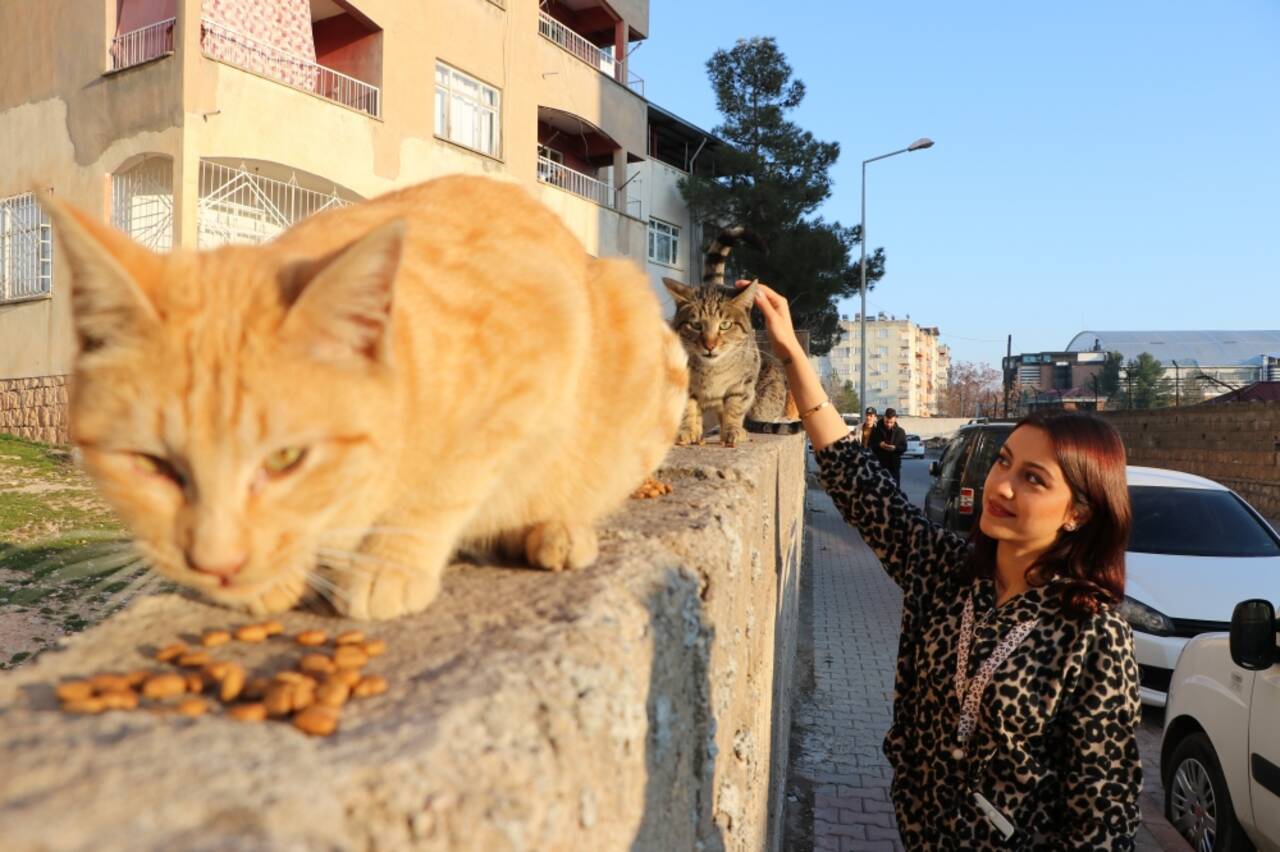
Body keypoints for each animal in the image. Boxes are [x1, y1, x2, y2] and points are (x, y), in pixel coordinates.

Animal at [37, 175, 691, 621]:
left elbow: (446, 483)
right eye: (151, 465)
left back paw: (554, 528)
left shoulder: (535, 356)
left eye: (286, 459)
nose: (216, 564)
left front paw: (390, 563)